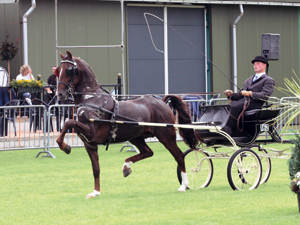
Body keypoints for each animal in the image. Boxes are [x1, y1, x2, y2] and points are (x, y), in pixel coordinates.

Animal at [55, 51, 199, 199]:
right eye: (58, 70)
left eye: (69, 70)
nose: (59, 94)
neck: (92, 99)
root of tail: (162, 102)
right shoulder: (89, 144)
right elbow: (96, 168)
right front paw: (96, 192)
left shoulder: (90, 132)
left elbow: (68, 122)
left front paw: (65, 146)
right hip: (136, 137)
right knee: (148, 152)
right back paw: (126, 167)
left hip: (166, 136)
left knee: (179, 156)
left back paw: (184, 185)